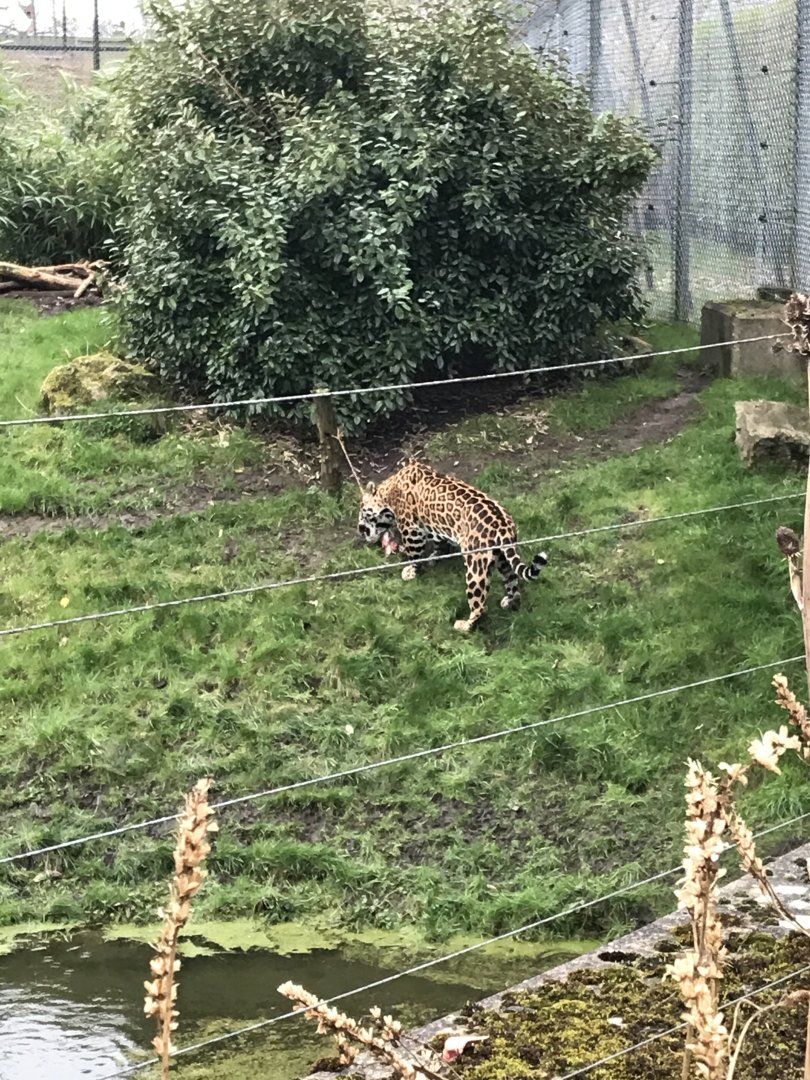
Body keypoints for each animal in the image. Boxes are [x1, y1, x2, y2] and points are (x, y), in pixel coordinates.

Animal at [357, 460, 548, 632]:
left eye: (362, 512)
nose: (360, 529)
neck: (388, 492)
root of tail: (503, 526)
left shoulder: (411, 530)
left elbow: (414, 554)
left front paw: (411, 570)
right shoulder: (435, 528)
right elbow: (440, 544)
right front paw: (434, 557)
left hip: (475, 565)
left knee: (480, 606)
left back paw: (464, 625)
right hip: (503, 556)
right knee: (512, 578)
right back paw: (511, 601)